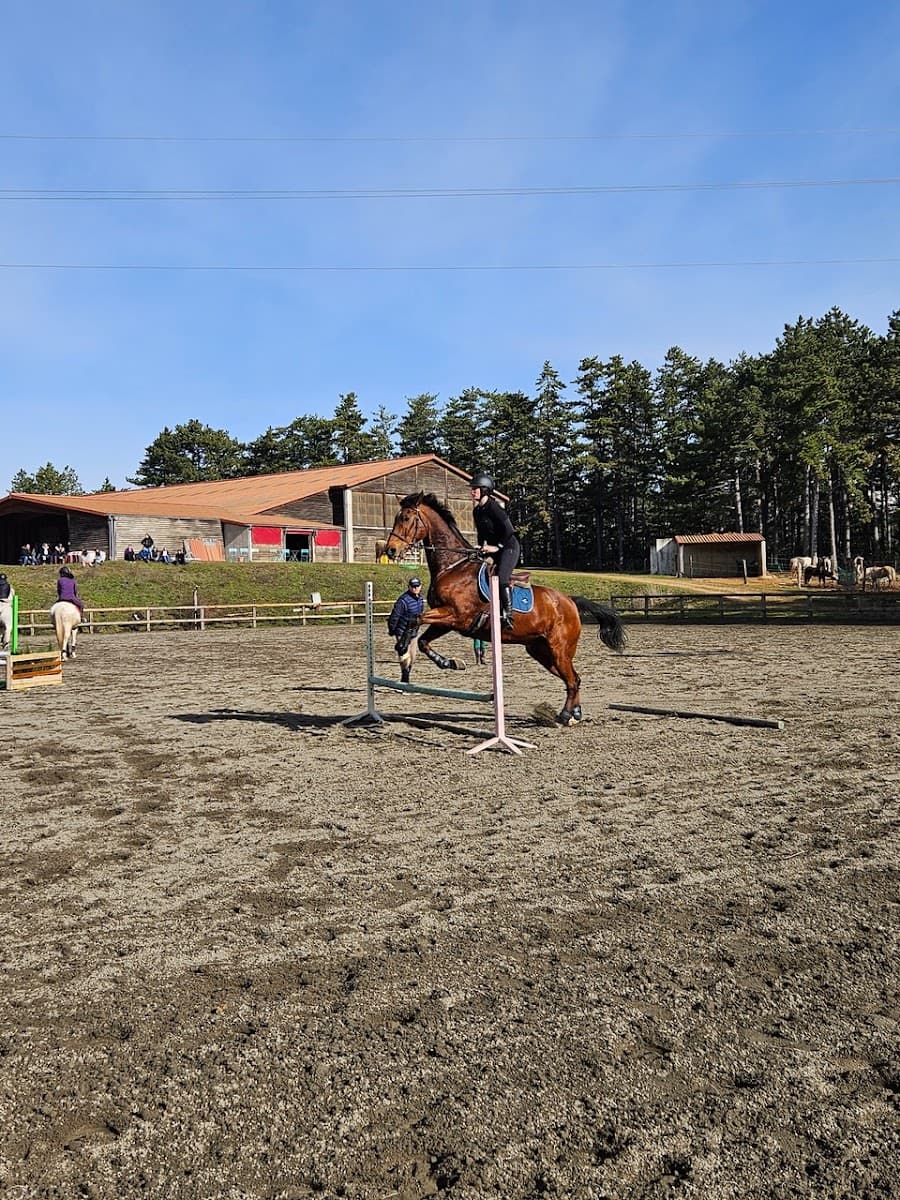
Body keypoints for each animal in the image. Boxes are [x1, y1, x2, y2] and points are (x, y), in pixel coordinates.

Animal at [384, 492, 627, 725]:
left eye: (405, 518)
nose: (390, 550)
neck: (452, 567)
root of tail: (570, 602)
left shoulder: (456, 616)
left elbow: (415, 618)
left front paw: (403, 646)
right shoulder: (447, 621)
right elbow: (423, 640)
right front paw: (448, 662)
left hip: (560, 649)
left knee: (573, 679)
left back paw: (567, 715)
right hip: (540, 651)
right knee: (573, 679)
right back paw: (573, 713)